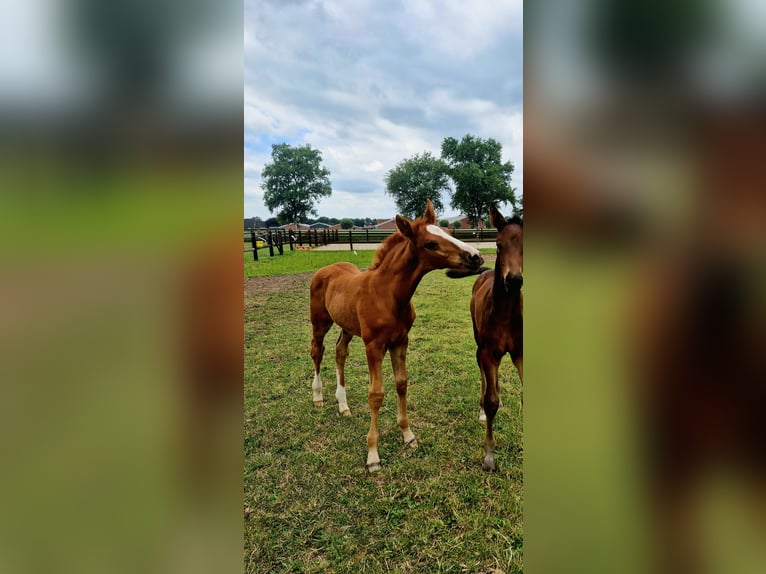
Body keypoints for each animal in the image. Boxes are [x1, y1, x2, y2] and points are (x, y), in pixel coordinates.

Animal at [309, 199, 484, 472]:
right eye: (431, 243)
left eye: (449, 232)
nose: (475, 256)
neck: (388, 294)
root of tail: (325, 269)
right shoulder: (373, 345)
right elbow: (376, 394)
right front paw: (372, 455)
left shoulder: (401, 341)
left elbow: (401, 383)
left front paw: (408, 435)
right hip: (320, 322)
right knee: (317, 351)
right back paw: (318, 397)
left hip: (347, 327)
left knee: (340, 352)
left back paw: (343, 405)